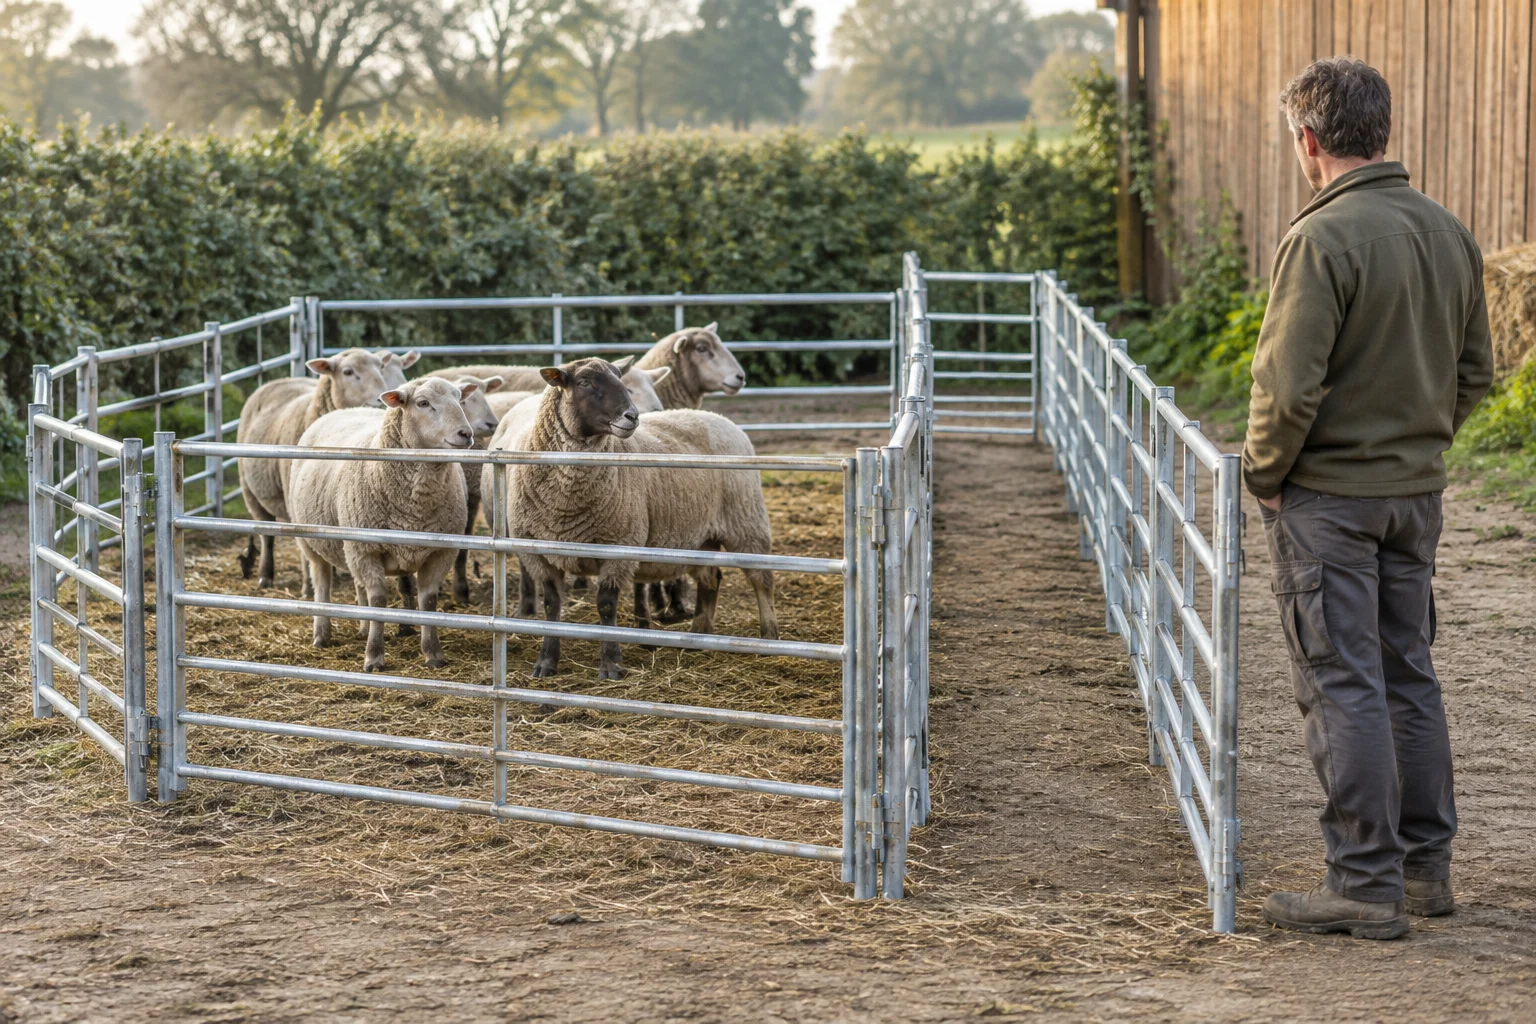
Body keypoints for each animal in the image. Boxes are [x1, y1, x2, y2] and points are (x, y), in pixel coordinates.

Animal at [236, 348, 418, 588]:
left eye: (381, 367)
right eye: (348, 372)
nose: (380, 400)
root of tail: (278, 381)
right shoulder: (294, 495)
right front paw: (308, 584)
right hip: (250, 490)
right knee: (266, 534)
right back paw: (265, 575)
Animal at [288, 377, 477, 672]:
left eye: (460, 398)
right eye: (423, 403)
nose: (466, 434)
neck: (416, 505)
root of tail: (343, 410)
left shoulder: (440, 551)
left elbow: (428, 601)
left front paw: (433, 653)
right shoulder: (367, 550)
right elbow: (378, 600)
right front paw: (374, 658)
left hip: (350, 545)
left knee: (358, 585)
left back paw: (363, 628)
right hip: (311, 541)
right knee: (322, 583)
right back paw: (321, 635)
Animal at [490, 357, 777, 680]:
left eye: (619, 377)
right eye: (584, 382)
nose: (633, 416)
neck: (566, 503)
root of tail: (720, 418)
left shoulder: (618, 545)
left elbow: (606, 606)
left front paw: (611, 665)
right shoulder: (538, 552)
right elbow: (552, 606)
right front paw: (546, 663)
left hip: (746, 521)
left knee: (762, 580)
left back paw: (769, 636)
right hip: (700, 536)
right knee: (710, 579)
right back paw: (698, 636)